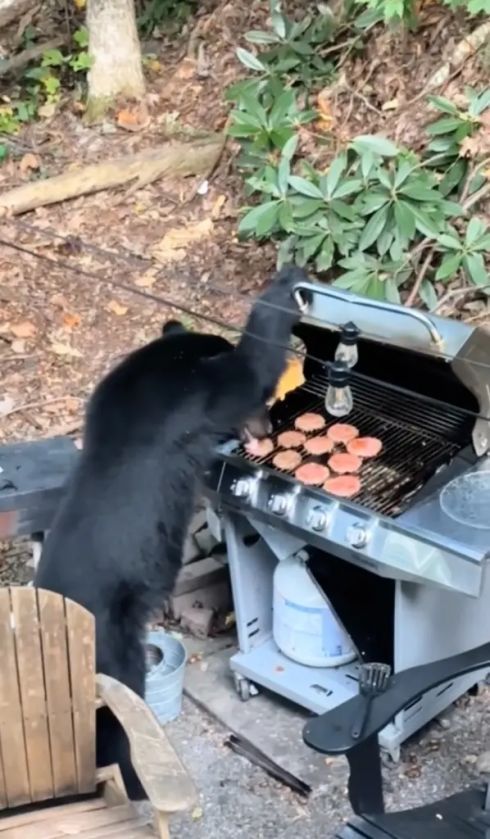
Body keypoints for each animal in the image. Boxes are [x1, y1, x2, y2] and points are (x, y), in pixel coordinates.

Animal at [34, 266, 308, 796]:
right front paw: (285, 288)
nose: (267, 427)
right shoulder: (191, 393)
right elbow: (247, 370)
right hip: (110, 648)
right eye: (263, 408)